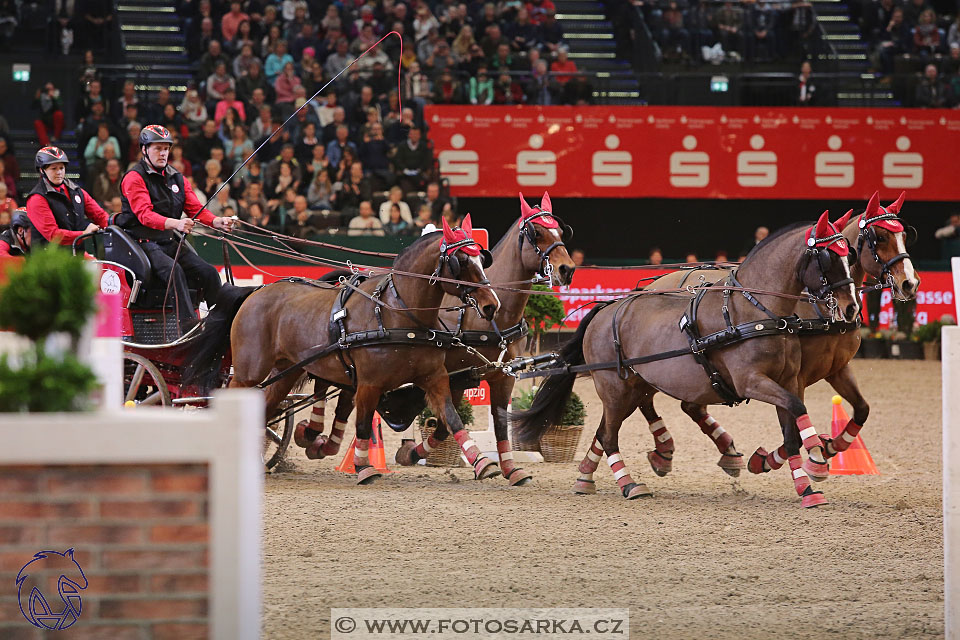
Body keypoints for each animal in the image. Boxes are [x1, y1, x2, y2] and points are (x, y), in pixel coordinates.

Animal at [185, 218, 506, 482]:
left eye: (481, 259)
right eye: (461, 261)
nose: (492, 304)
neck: (397, 312)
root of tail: (254, 291)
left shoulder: (434, 378)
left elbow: (451, 418)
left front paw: (483, 463)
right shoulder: (368, 383)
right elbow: (363, 425)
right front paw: (363, 468)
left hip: (285, 373)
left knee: (265, 410)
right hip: (248, 373)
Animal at [512, 212, 860, 508]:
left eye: (850, 255)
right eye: (828, 257)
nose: (852, 307)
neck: (756, 311)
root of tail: (606, 308)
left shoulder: (788, 381)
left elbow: (792, 431)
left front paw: (804, 485)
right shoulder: (751, 382)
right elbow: (798, 412)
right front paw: (818, 460)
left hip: (632, 386)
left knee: (608, 426)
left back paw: (591, 475)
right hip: (614, 386)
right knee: (610, 435)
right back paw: (630, 483)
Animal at [632, 192, 920, 482]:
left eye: (905, 235)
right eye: (879, 237)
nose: (910, 283)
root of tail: (652, 284)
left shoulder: (836, 368)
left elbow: (861, 409)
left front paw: (828, 447)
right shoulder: (798, 375)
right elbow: (795, 421)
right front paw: (802, 458)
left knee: (686, 405)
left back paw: (721, 450)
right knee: (646, 398)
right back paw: (665, 450)